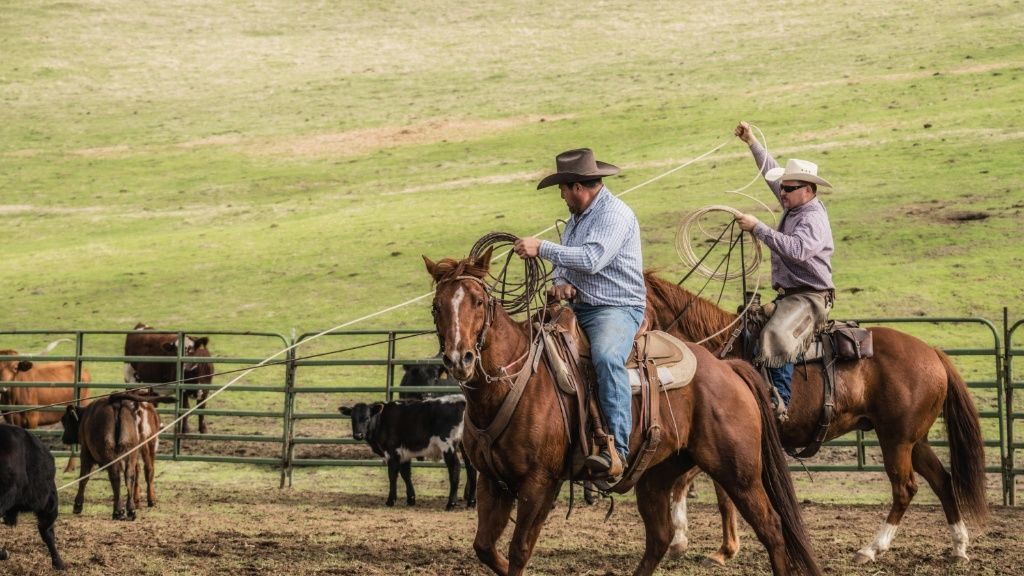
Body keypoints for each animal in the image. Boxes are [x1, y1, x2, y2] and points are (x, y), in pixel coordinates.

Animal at [60, 387, 173, 518]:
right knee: (135, 473)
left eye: (65, 420)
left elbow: (84, 477)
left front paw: (78, 506)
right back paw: (135, 507)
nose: (64, 438)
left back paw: (118, 510)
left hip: (113, 451)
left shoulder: (86, 453)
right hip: (136, 449)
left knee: (116, 476)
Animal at [339, 391, 475, 508]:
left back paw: (451, 503)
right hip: (465, 446)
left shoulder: (392, 451)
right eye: (352, 418)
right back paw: (471, 502)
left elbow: (392, 475)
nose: (358, 435)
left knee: (455, 468)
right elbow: (406, 474)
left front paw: (391, 500)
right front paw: (411, 499)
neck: (381, 420)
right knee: (471, 468)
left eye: (367, 418)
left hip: (448, 445)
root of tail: (462, 400)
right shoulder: (404, 453)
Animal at [423, 250, 823, 573]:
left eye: (478, 301)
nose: (460, 359)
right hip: (657, 473)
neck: (516, 380)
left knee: (771, 527)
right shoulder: (493, 480)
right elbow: (485, 547)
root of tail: (728, 368)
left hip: (738, 471)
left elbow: (519, 550)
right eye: (437, 306)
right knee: (659, 538)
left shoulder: (539, 483)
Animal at [643, 270, 987, 561]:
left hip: (897, 441)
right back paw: (959, 547)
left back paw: (871, 549)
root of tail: (933, 353)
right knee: (942, 480)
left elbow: (694, 485)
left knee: (905, 489)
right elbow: (711, 490)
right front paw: (720, 548)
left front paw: (692, 543)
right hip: (915, 441)